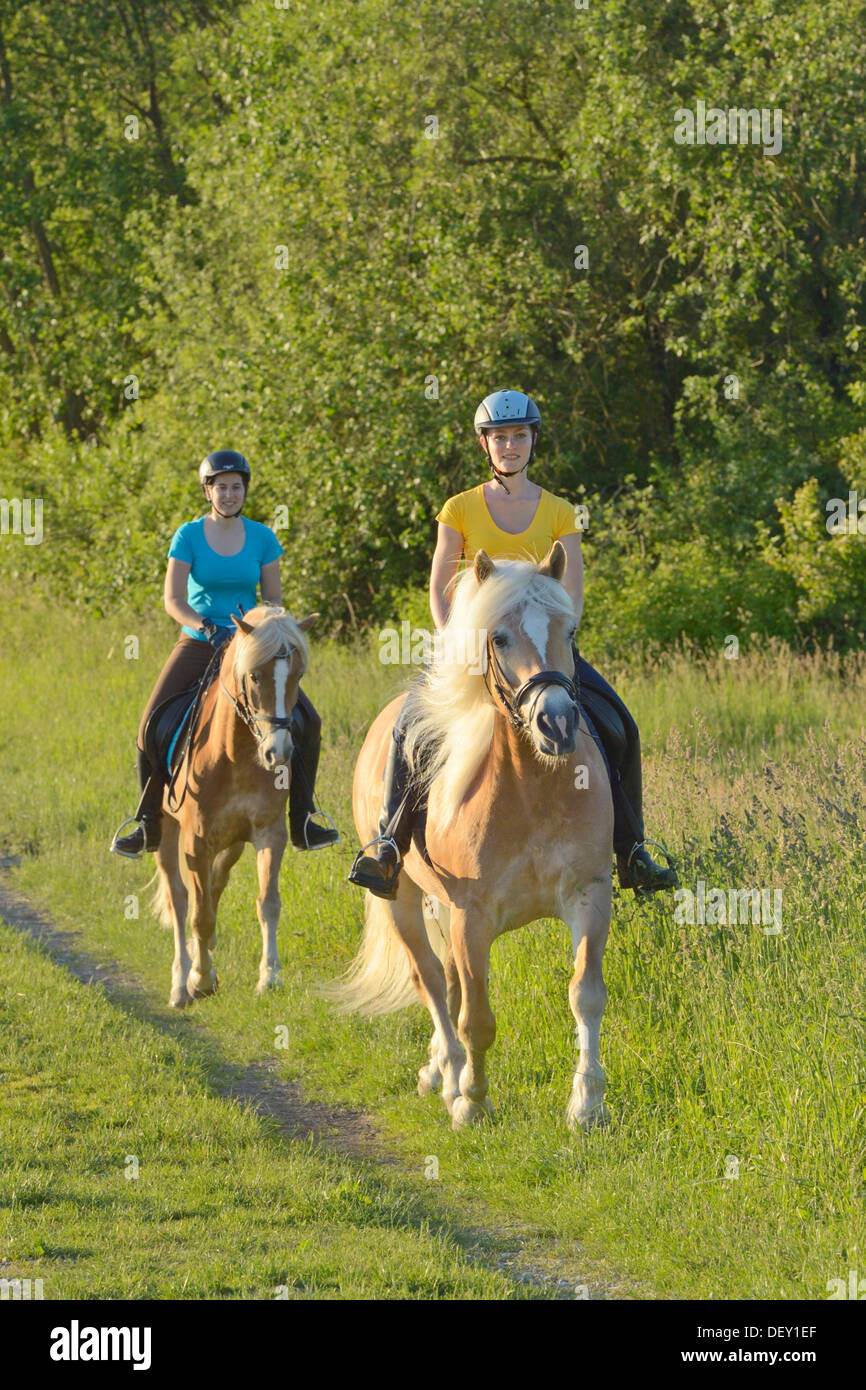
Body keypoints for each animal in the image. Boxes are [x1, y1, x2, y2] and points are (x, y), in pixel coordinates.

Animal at [150, 604, 314, 1007]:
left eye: (298, 675)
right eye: (254, 676)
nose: (278, 753)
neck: (236, 755)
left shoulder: (270, 833)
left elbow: (267, 903)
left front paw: (270, 977)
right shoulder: (195, 841)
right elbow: (199, 914)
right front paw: (201, 980)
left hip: (233, 842)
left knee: (214, 885)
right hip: (166, 831)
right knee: (179, 899)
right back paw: (180, 982)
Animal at [327, 543, 614, 1131]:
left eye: (570, 631)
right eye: (498, 637)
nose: (556, 724)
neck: (533, 787)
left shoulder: (590, 897)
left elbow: (586, 995)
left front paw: (587, 1104)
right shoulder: (472, 916)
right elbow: (476, 1016)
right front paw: (473, 1103)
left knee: (450, 983)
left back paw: (445, 1072)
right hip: (405, 900)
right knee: (434, 982)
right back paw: (448, 1078)